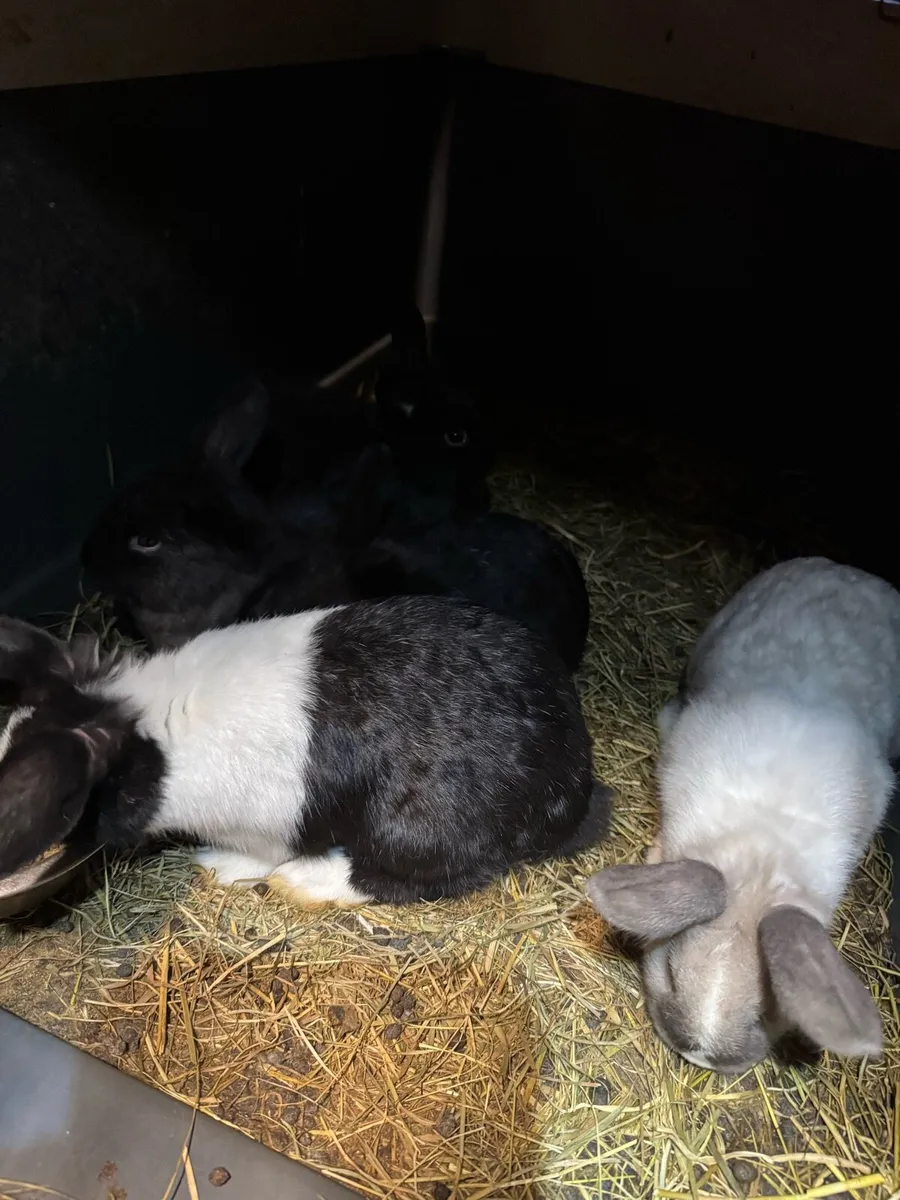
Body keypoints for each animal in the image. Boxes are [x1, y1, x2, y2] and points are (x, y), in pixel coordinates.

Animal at [0, 602, 613, 902]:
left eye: (70, 806)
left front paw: (219, 867)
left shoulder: (264, 828)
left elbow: (259, 856)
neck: (153, 733)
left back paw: (304, 883)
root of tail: (575, 787)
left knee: (412, 880)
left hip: (415, 827)